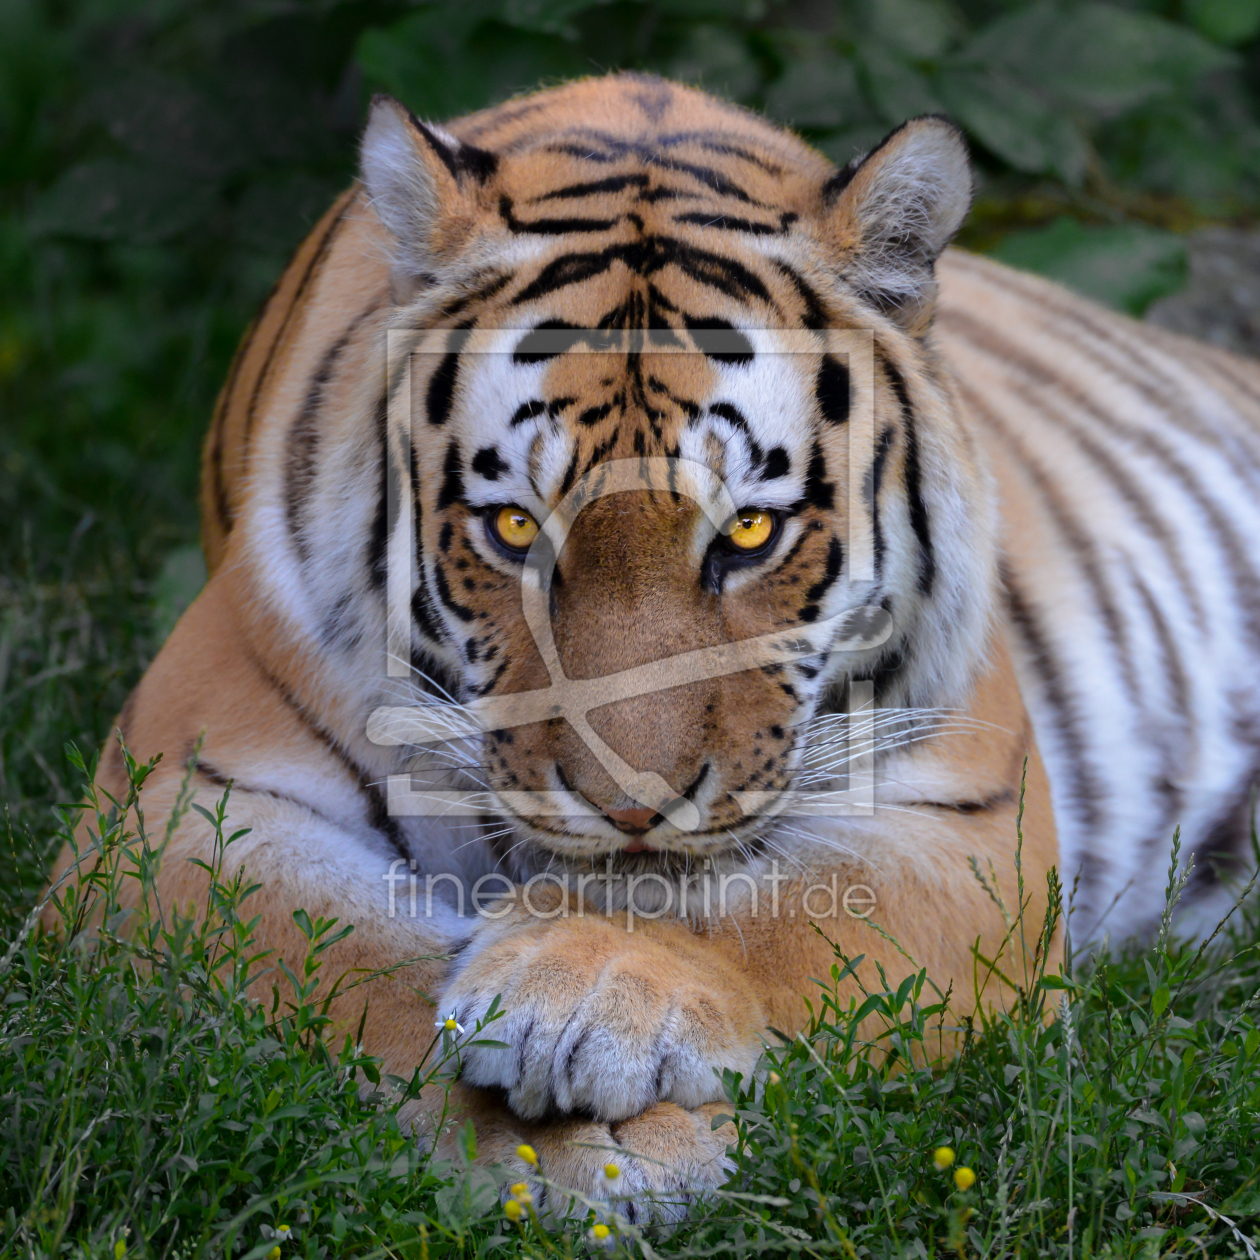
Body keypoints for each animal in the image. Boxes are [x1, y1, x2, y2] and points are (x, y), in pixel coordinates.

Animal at [44, 71, 1260, 1219]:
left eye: (751, 532)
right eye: (515, 529)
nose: (632, 807)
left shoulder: (967, 818)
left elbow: (787, 919)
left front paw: (591, 1005)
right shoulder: (173, 805)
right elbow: (338, 963)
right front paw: (546, 1147)